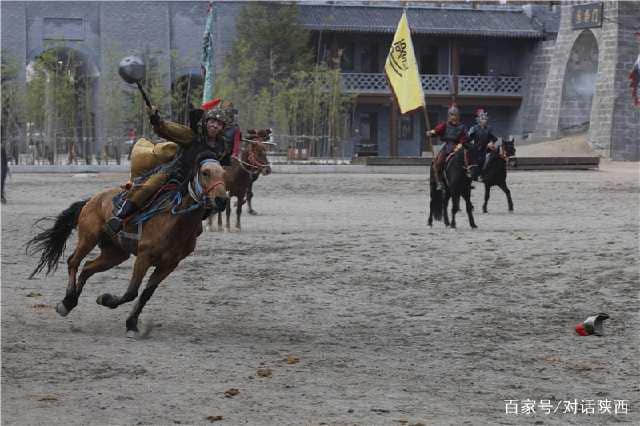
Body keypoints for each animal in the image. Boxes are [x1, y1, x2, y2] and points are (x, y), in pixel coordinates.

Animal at [26, 151, 228, 338]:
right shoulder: (144, 257)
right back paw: (66, 302)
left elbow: (145, 294)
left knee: (88, 267)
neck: (175, 220)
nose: (222, 200)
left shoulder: (169, 265)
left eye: (224, 173)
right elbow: (132, 292)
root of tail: (92, 199)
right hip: (88, 238)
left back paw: (71, 301)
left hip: (115, 254)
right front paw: (107, 301)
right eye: (205, 172)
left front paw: (131, 322)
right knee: (73, 262)